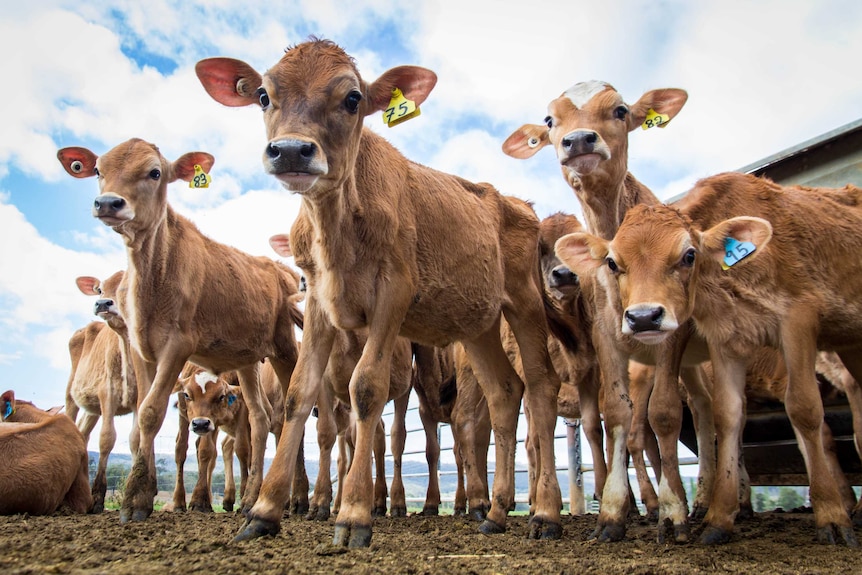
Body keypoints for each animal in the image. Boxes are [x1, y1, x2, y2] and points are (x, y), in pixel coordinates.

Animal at [56, 140, 304, 520]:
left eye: (155, 172)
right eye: (98, 170)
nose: (109, 203)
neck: (157, 274)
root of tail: (278, 268)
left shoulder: (177, 347)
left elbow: (151, 413)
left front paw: (136, 500)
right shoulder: (143, 353)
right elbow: (140, 424)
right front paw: (140, 496)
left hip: (284, 348)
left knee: (292, 413)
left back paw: (299, 499)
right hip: (247, 361)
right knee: (260, 418)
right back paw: (250, 498)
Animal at [198, 40, 568, 548]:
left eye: (353, 98)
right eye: (263, 95)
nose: (291, 150)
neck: (336, 230)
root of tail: (520, 205)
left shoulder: (394, 293)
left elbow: (366, 388)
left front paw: (353, 514)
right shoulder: (318, 302)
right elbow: (299, 394)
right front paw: (264, 510)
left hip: (525, 300)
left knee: (541, 386)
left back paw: (545, 512)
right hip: (477, 322)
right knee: (504, 392)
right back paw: (495, 511)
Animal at [556, 173, 860, 548]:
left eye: (689, 255)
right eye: (612, 262)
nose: (643, 317)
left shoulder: (795, 320)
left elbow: (801, 410)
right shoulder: (616, 340)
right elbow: (621, 414)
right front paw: (613, 515)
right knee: (703, 408)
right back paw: (709, 500)